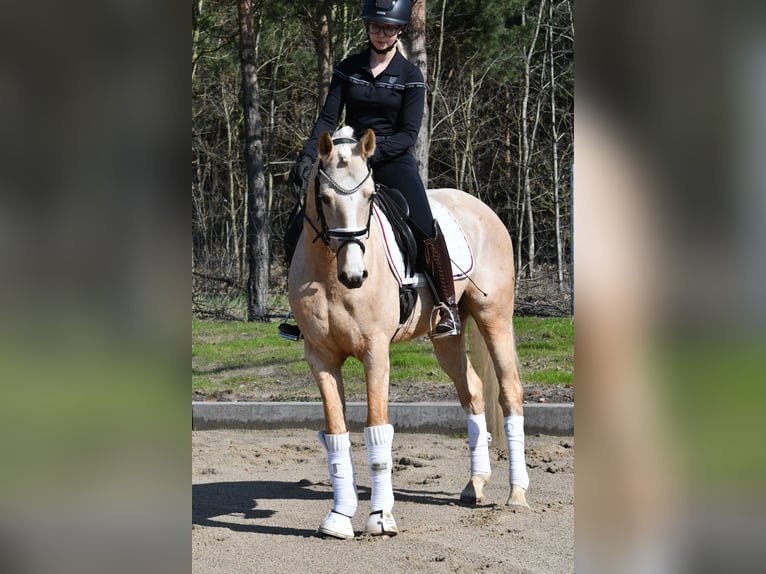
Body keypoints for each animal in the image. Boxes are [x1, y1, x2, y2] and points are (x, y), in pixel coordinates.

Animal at [288, 126, 529, 539]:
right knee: (473, 390)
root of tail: (481, 208)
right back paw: (476, 483)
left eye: (369, 197)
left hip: (494, 316)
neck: (330, 276)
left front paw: (380, 517)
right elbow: (336, 433)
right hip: (447, 337)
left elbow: (376, 428)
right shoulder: (320, 357)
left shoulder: (375, 353)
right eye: (324, 197)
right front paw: (339, 517)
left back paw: (517, 493)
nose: (354, 276)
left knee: (510, 390)